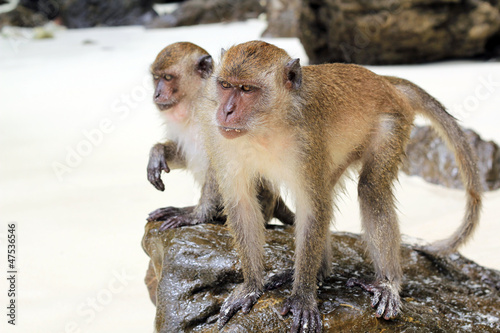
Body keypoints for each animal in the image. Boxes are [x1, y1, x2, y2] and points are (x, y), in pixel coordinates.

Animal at [145, 40, 294, 228]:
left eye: (168, 78)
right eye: (156, 77)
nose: (156, 94)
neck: (194, 102)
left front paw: (197, 215)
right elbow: (183, 152)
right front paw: (158, 152)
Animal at [197, 41, 482, 332]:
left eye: (246, 89)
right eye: (225, 85)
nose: (226, 111)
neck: (266, 126)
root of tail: (383, 80)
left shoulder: (307, 140)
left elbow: (313, 208)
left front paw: (302, 296)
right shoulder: (218, 136)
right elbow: (243, 205)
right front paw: (252, 286)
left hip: (392, 122)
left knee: (371, 189)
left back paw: (387, 283)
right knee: (332, 190)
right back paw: (320, 272)